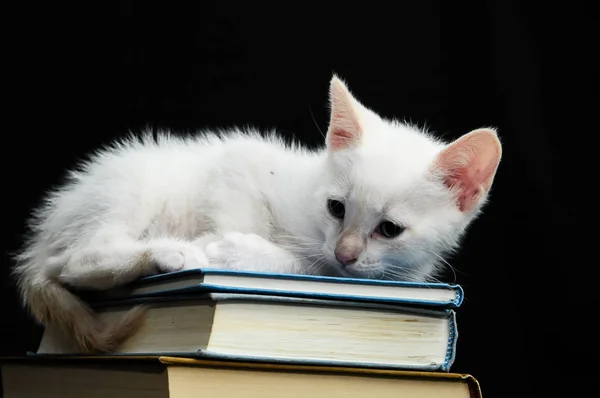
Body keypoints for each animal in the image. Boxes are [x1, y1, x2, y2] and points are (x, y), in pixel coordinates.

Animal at [12, 76, 502, 352]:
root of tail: (40, 241)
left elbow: (320, 268)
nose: (345, 252)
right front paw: (228, 248)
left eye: (389, 229)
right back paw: (172, 253)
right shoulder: (239, 162)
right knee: (77, 261)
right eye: (336, 208)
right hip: (129, 188)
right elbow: (246, 220)